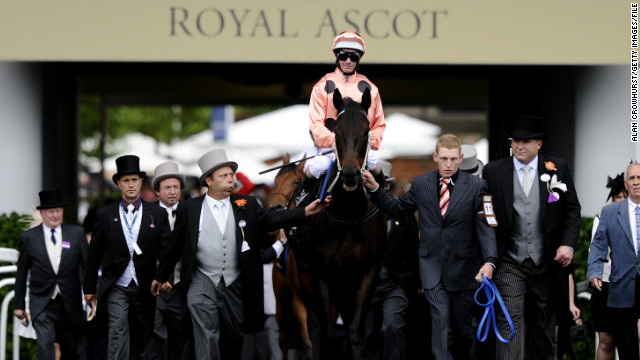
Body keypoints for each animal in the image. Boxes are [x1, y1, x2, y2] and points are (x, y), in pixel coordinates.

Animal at [296, 88, 384, 360]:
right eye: (336, 131)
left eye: (366, 130)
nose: (350, 175)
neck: (348, 214)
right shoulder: (321, 273)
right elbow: (326, 332)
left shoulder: (367, 272)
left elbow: (355, 330)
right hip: (305, 274)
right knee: (314, 326)